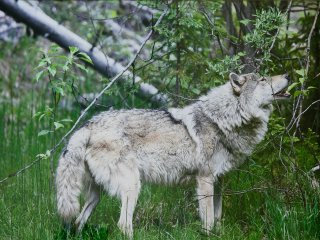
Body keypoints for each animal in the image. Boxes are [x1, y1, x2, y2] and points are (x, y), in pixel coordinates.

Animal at [56, 72, 292, 237]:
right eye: (263, 79)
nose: (288, 75)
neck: (225, 119)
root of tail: (88, 125)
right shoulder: (205, 180)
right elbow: (208, 220)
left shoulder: (219, 181)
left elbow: (217, 218)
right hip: (132, 186)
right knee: (123, 225)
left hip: (96, 195)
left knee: (78, 221)